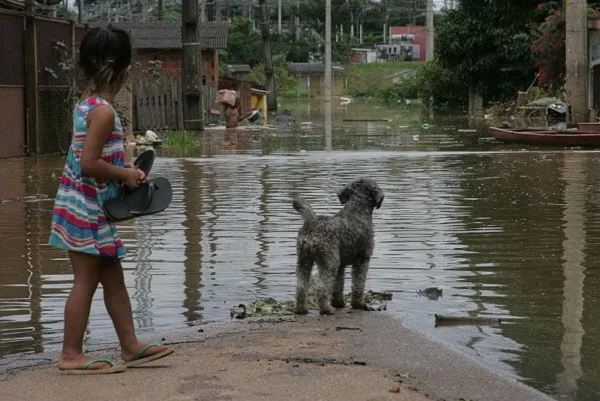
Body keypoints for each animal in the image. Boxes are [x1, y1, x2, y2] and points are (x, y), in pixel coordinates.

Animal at [292, 179, 384, 316]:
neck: (357, 210)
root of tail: (312, 223)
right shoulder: (363, 260)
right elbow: (358, 284)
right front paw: (358, 304)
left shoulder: (341, 265)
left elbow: (338, 285)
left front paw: (338, 303)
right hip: (329, 262)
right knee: (322, 287)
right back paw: (327, 309)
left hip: (304, 260)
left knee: (301, 286)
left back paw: (301, 309)